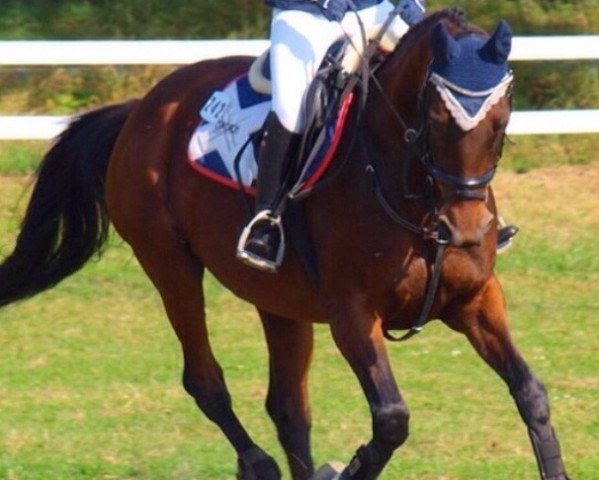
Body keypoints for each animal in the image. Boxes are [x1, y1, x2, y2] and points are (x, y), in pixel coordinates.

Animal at [0, 7, 572, 480]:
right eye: (433, 117)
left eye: (503, 118)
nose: (468, 231)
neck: (412, 191)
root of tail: (142, 109)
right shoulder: (351, 314)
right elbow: (391, 420)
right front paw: (344, 469)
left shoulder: (475, 300)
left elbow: (531, 392)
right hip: (170, 266)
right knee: (205, 380)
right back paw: (257, 464)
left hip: (279, 301)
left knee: (288, 407)